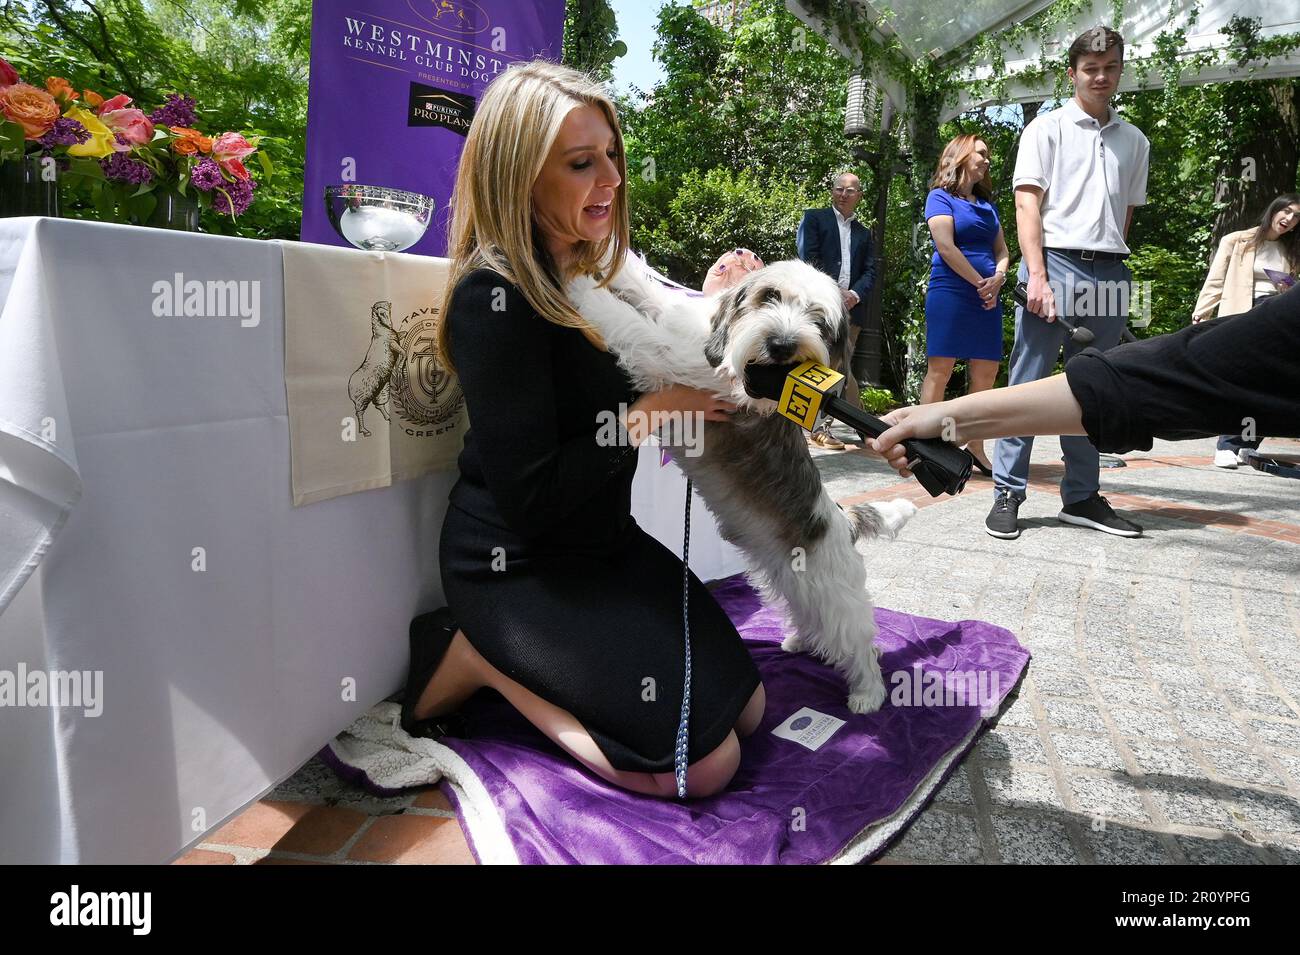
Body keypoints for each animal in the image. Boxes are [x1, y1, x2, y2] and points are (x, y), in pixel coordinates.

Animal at [569, 257, 915, 712]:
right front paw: (607, 267)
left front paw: (574, 285)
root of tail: (843, 520)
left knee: (860, 644)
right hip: (795, 582)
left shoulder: (667, 356)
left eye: (818, 319)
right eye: (770, 296)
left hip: (835, 596)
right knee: (811, 618)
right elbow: (648, 292)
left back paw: (868, 694)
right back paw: (800, 641)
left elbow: (628, 322)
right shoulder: (681, 326)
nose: (783, 345)